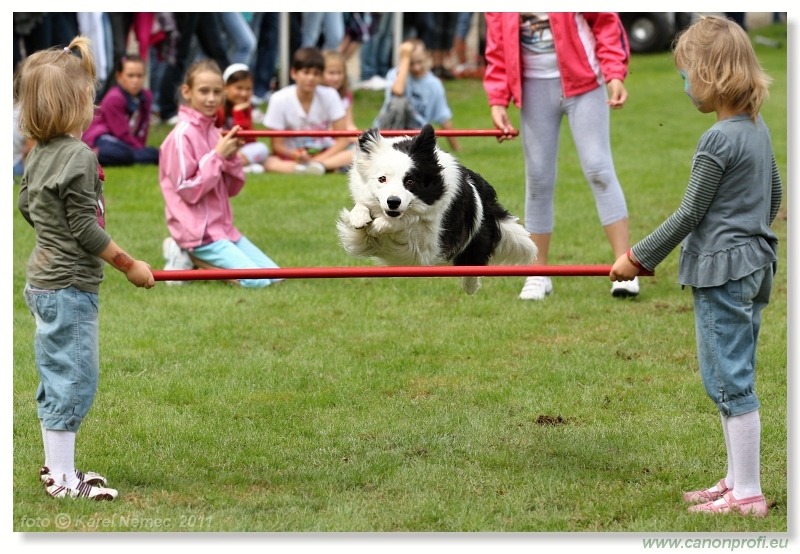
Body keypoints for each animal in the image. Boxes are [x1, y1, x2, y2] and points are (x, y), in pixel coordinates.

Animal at [334, 122, 536, 294]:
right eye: (382, 179)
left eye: (410, 181)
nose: (393, 201)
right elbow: (362, 210)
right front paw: (359, 217)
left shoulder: (426, 245)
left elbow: (409, 221)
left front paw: (380, 225)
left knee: (473, 261)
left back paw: (470, 286)